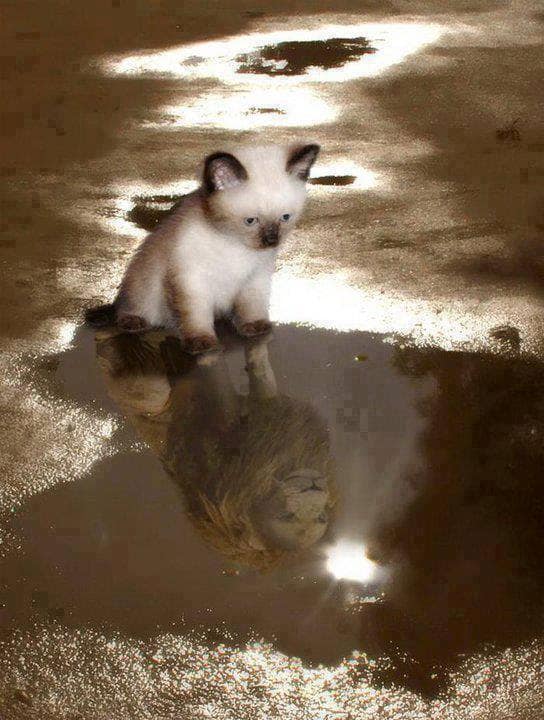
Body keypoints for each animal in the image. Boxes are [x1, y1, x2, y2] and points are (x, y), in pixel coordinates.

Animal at [95, 329, 335, 570]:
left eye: (320, 517)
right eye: (287, 516)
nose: (314, 485)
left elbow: (238, 378)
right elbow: (257, 368)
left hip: (151, 393)